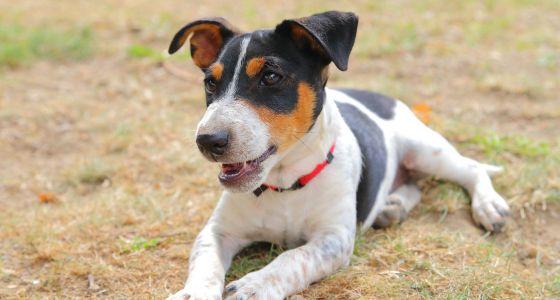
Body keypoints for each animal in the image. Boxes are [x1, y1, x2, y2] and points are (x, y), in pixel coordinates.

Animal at [164, 10, 510, 298]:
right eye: (210, 83)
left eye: (271, 77)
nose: (207, 140)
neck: (284, 184)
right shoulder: (217, 232)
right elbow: (205, 264)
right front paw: (193, 294)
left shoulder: (333, 240)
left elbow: (293, 257)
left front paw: (255, 285)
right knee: (413, 184)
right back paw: (392, 206)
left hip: (427, 150)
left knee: (472, 169)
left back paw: (489, 206)